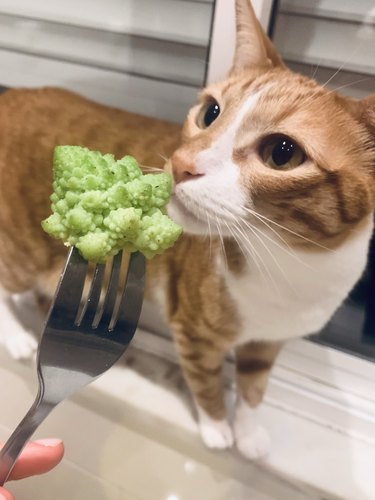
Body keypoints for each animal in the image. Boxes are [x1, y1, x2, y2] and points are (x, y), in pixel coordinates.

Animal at [0, 0, 375, 460]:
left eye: (282, 153)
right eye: (210, 112)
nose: (181, 164)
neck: (292, 267)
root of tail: (14, 94)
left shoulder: (269, 344)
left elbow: (253, 389)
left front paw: (248, 432)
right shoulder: (194, 333)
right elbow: (207, 383)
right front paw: (217, 428)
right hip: (20, 247)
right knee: (5, 286)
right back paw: (18, 336)